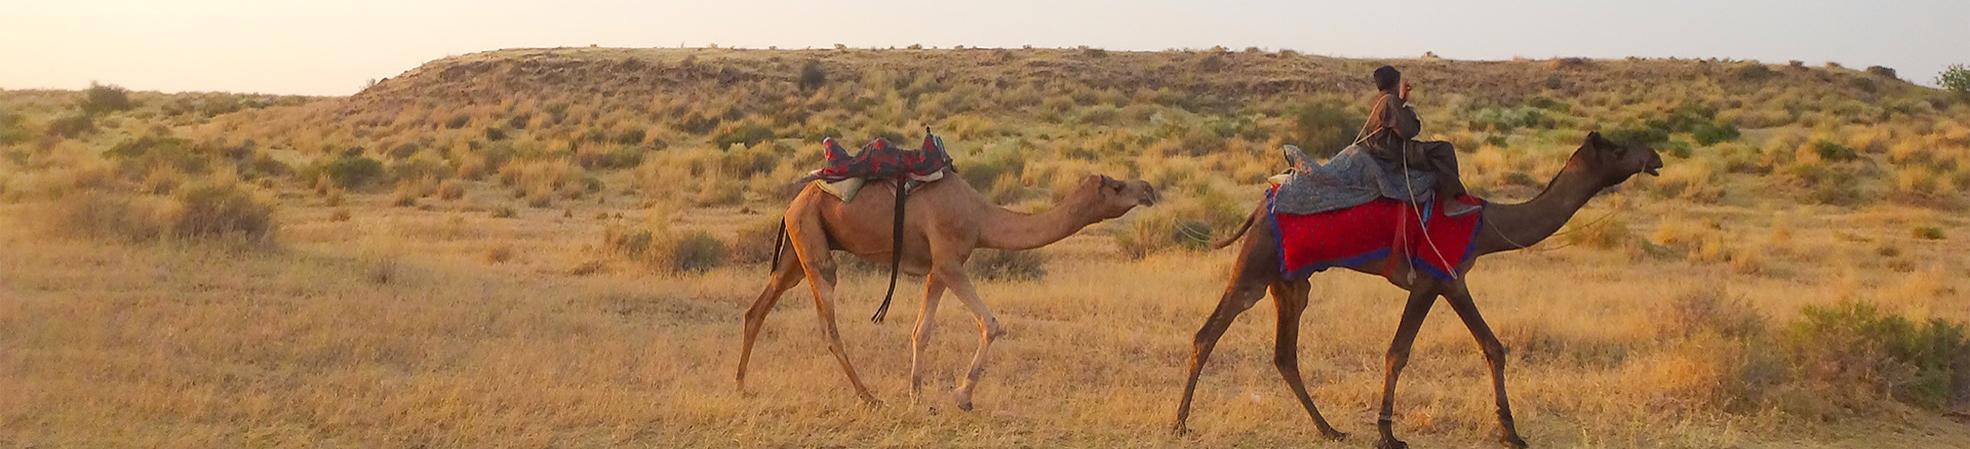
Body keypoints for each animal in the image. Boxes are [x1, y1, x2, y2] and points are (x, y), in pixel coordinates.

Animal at [740, 172, 1150, 409]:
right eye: (1117, 186)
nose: (1148, 189)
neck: (982, 217)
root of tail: (793, 202)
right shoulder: (951, 262)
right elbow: (991, 323)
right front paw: (963, 396)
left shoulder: (936, 270)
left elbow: (921, 331)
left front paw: (917, 394)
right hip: (812, 243)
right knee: (828, 324)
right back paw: (869, 396)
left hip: (796, 251)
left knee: (757, 308)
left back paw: (742, 384)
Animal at [1166, 131, 1662, 449]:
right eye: (1618, 147)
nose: (1655, 156)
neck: (1486, 224)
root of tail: (1259, 205)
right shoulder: (1431, 279)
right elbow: (1398, 351)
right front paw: (1388, 433)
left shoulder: (1454, 279)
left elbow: (1493, 347)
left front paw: (1511, 433)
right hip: (1256, 266)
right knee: (1208, 333)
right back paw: (1180, 424)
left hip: (1291, 281)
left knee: (1285, 354)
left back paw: (1329, 430)